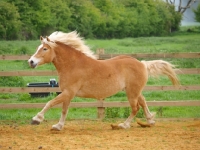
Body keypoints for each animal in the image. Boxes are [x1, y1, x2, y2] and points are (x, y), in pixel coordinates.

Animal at [28, 31, 180, 131]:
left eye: (45, 48)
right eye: (38, 48)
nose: (31, 61)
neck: (73, 65)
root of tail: (142, 64)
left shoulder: (69, 92)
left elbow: (50, 103)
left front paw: (36, 119)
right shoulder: (67, 93)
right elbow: (64, 110)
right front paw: (58, 126)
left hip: (132, 93)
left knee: (135, 108)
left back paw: (123, 125)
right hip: (134, 91)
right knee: (142, 103)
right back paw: (150, 121)